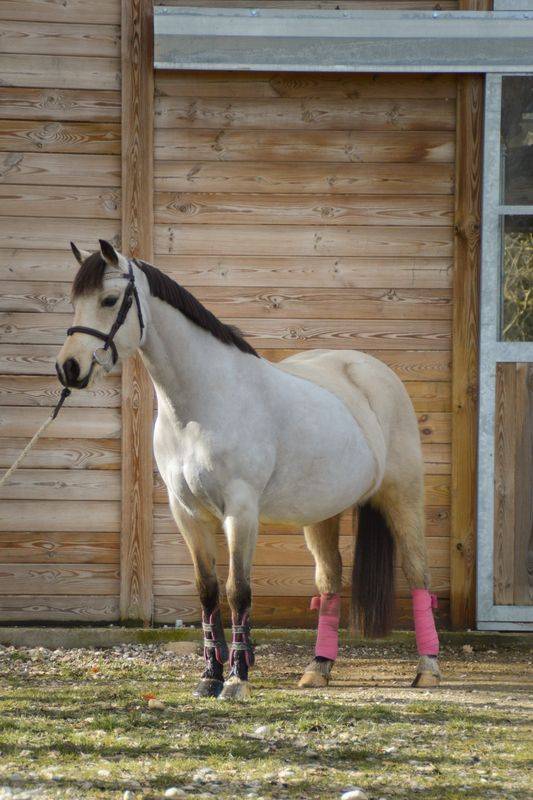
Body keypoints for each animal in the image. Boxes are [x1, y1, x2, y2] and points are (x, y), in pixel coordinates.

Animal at [56, 240, 441, 700]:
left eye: (110, 300)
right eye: (74, 301)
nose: (69, 368)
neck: (205, 402)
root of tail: (374, 372)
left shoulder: (240, 511)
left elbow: (238, 591)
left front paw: (237, 678)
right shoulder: (187, 514)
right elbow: (207, 593)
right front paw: (210, 676)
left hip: (402, 496)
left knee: (418, 572)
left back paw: (428, 669)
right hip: (322, 513)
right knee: (329, 582)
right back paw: (318, 668)